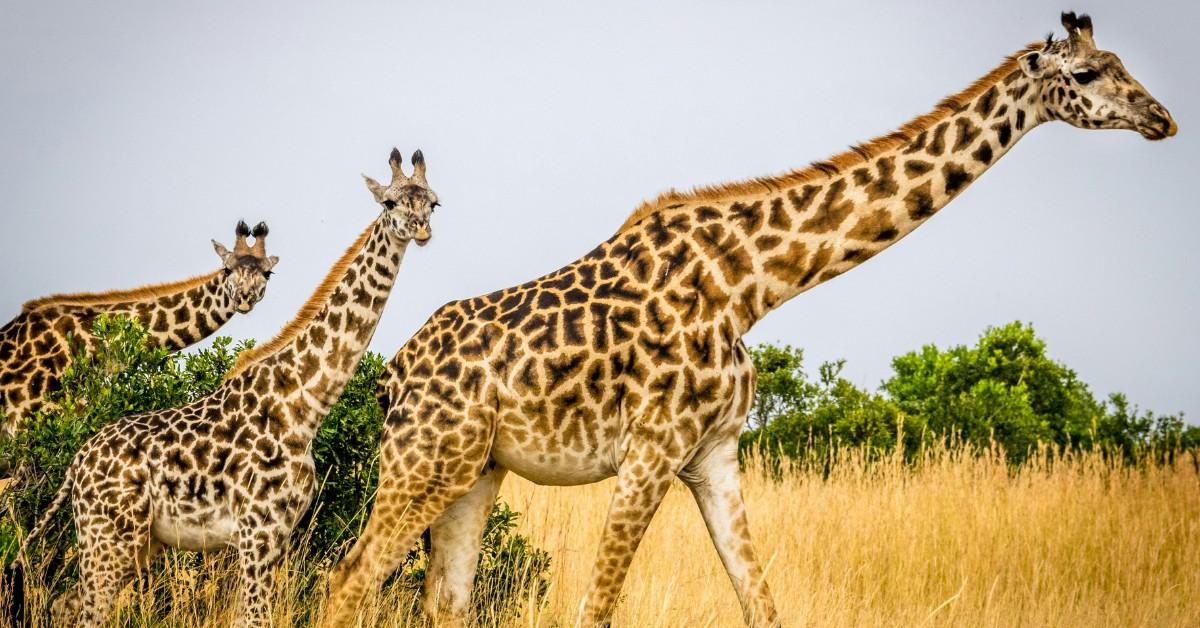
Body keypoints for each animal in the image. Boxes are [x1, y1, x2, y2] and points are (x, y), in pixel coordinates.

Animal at [323, 13, 1176, 627]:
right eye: (1086, 73)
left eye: (1124, 64)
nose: (1162, 118)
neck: (751, 285)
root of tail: (392, 375)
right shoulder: (651, 451)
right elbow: (595, 608)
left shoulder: (716, 454)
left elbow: (762, 603)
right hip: (421, 462)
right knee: (348, 577)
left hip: (475, 470)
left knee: (443, 597)